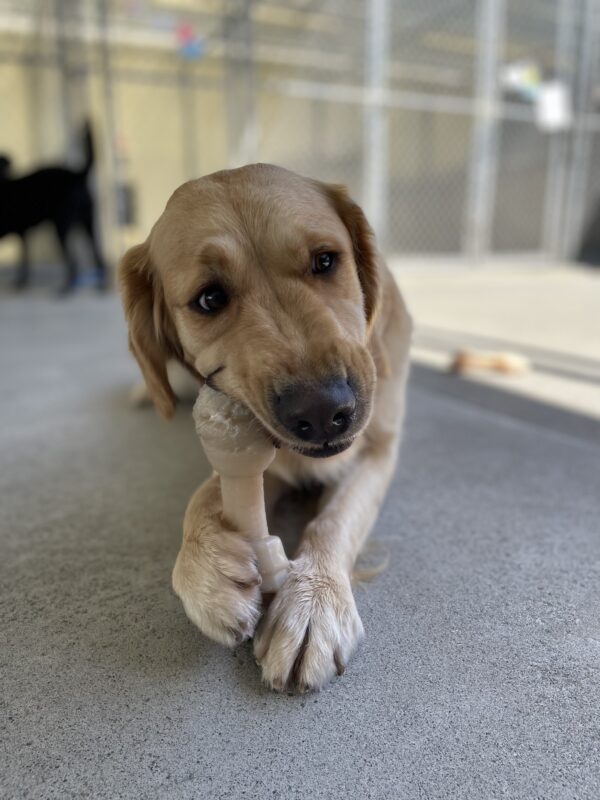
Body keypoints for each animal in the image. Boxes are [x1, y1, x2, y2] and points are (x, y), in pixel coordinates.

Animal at [0, 122, 106, 290]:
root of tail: (76, 174)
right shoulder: (22, 233)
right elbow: (25, 259)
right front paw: (23, 281)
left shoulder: (20, 233)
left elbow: (23, 259)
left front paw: (21, 281)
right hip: (87, 222)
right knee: (97, 252)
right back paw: (101, 285)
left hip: (61, 224)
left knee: (73, 261)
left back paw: (66, 288)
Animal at [120, 166, 412, 692]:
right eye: (210, 298)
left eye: (325, 261)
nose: (323, 411)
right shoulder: (257, 454)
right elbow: (204, 494)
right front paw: (205, 569)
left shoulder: (378, 450)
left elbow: (335, 520)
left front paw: (313, 601)